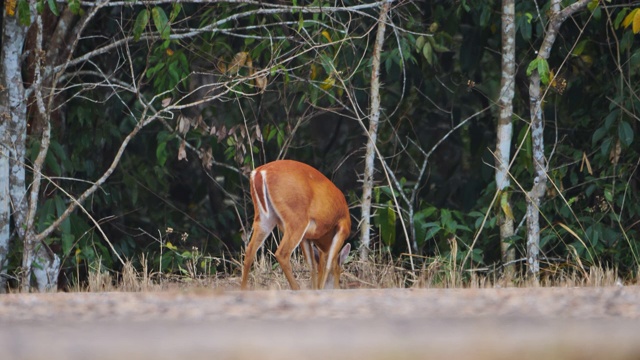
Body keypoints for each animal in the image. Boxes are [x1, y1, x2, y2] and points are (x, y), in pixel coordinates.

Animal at [239, 160, 350, 290]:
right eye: (340, 273)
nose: (337, 286)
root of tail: (259, 172)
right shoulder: (343, 227)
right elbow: (327, 265)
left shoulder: (307, 237)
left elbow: (313, 266)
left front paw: (315, 288)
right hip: (296, 220)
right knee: (281, 253)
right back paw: (296, 288)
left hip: (264, 218)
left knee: (249, 251)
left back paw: (243, 289)